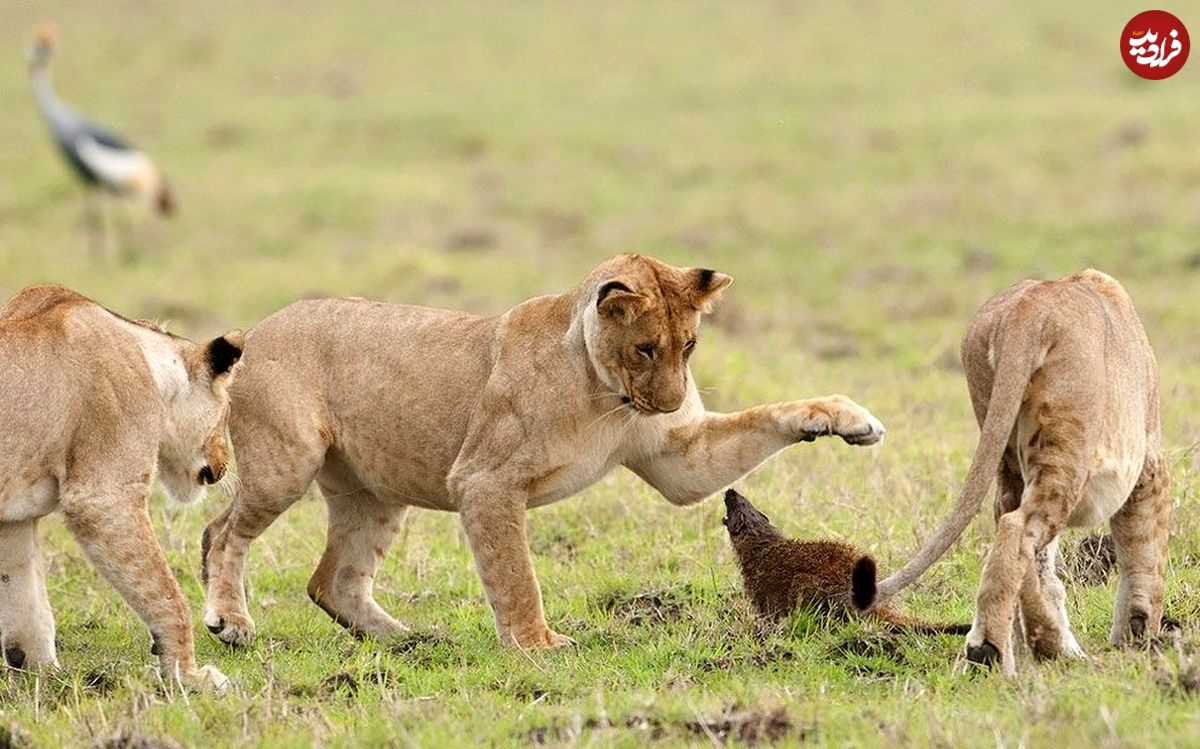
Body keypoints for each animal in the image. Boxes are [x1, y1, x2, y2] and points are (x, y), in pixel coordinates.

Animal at [201, 253, 888, 648]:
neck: (603, 393)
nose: (671, 403)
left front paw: (846, 418)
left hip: (376, 492)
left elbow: (766, 417)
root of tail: (257, 329)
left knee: (332, 580)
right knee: (220, 533)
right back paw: (230, 621)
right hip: (287, 464)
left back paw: (410, 640)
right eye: (645, 348)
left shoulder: (679, 459)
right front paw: (537, 645)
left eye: (689, 345)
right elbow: (515, 575)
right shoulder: (484, 481)